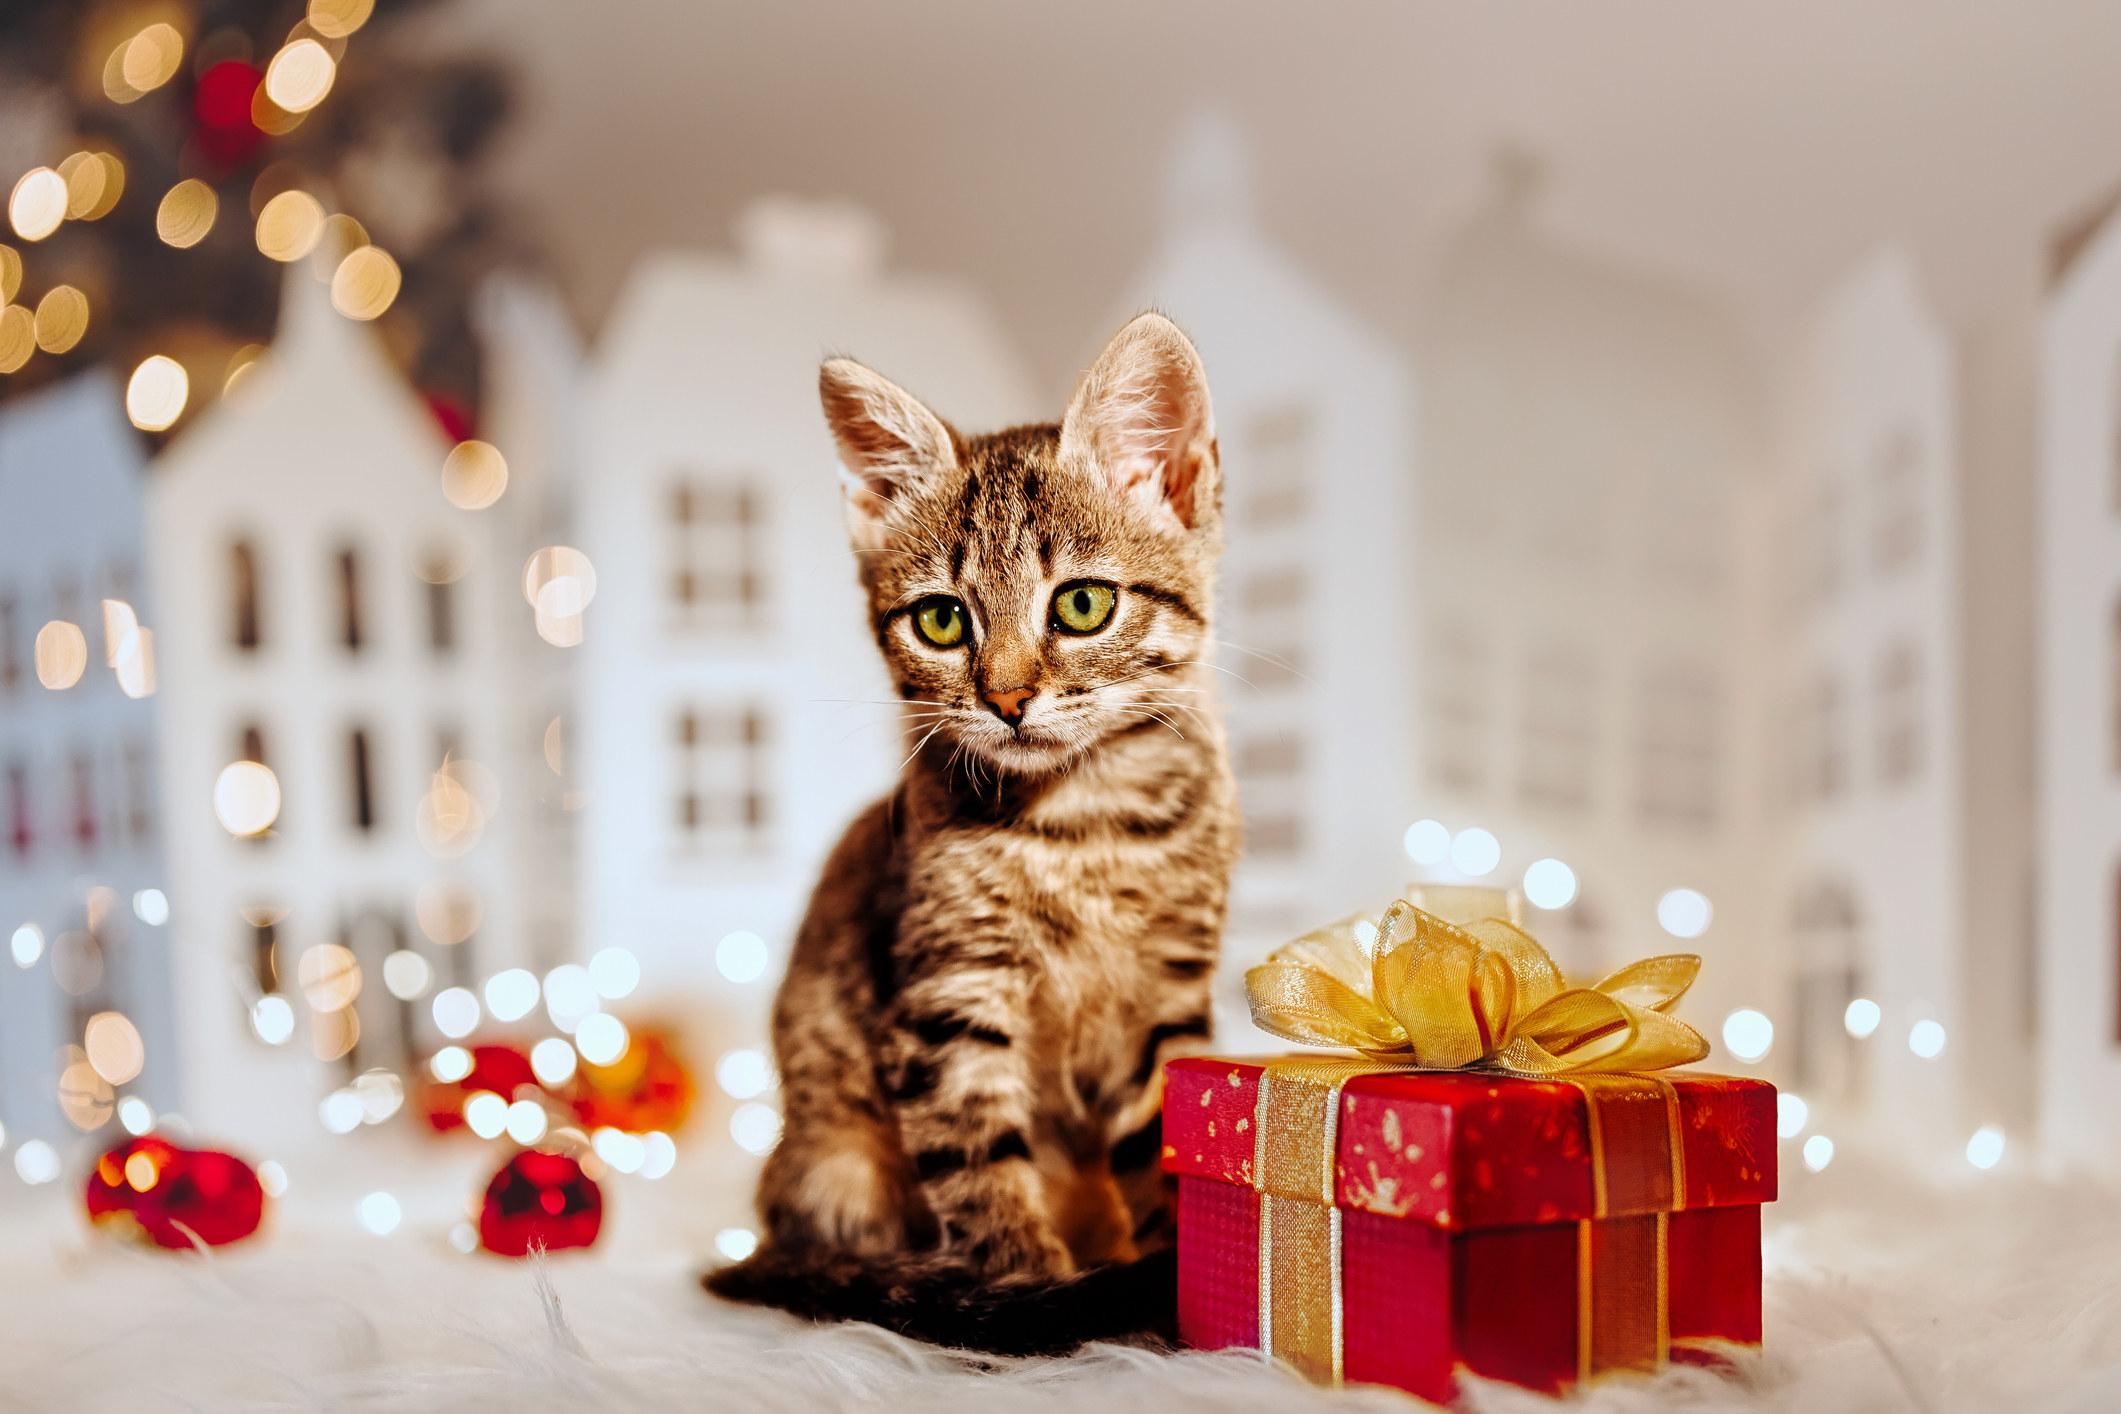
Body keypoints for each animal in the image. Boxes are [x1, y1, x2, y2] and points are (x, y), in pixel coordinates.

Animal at [712, 311, 1238, 1348]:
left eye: (1082, 604)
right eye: (942, 621)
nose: (1006, 699)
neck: (1085, 824)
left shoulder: (1167, 991)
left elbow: (1165, 1141)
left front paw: (1171, 1275)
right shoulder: (945, 996)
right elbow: (980, 1169)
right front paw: (1031, 1295)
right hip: (837, 1161)